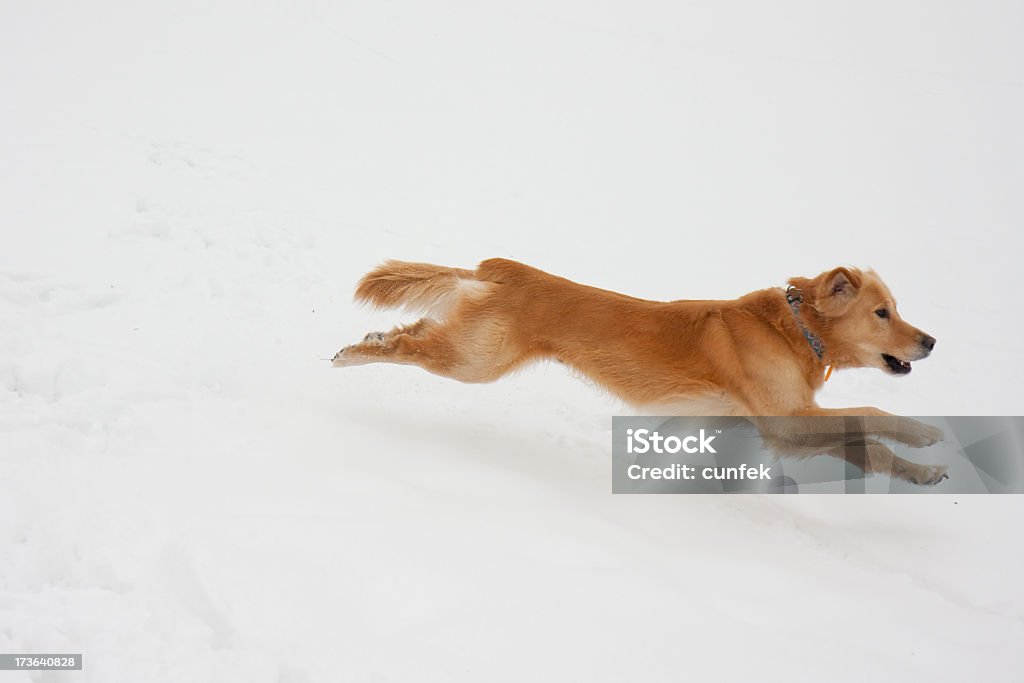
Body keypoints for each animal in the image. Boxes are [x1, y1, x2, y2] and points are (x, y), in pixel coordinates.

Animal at [331, 258, 946, 485]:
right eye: (882, 313)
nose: (931, 341)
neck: (794, 329)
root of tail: (498, 268)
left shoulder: (775, 426)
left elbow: (868, 446)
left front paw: (918, 473)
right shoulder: (786, 418)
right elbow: (873, 413)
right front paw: (926, 433)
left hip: (470, 349)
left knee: (413, 332)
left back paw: (370, 339)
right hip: (475, 361)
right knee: (409, 347)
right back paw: (353, 354)